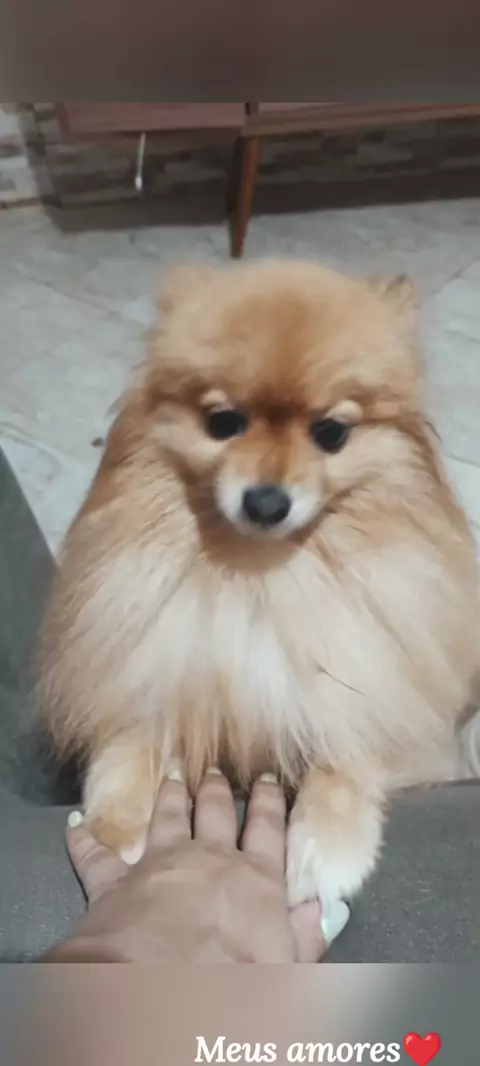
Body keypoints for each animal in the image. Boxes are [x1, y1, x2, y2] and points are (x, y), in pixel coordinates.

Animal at [40, 258, 479, 906]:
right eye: (223, 422)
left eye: (331, 433)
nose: (267, 502)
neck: (260, 580)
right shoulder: (149, 661)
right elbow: (130, 737)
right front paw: (113, 829)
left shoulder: (373, 686)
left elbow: (349, 748)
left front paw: (326, 850)